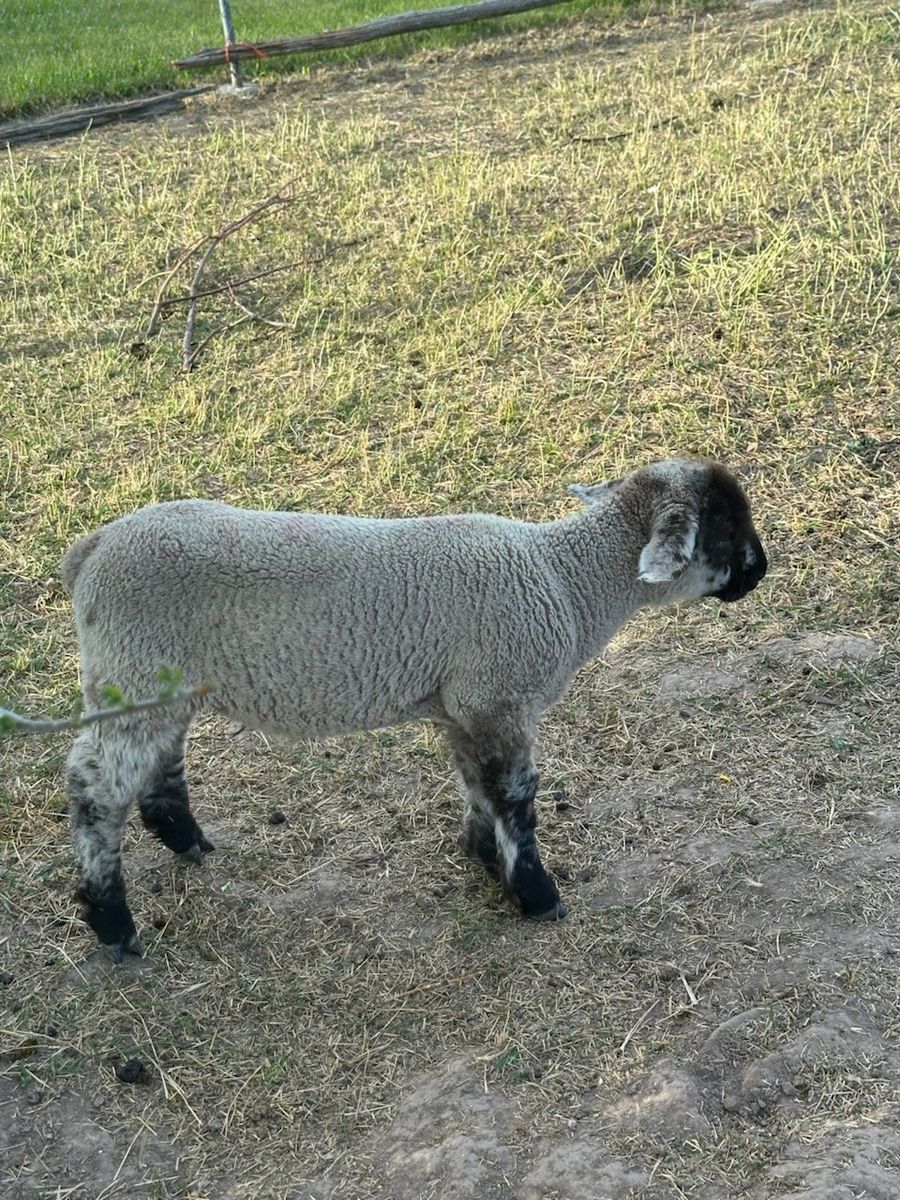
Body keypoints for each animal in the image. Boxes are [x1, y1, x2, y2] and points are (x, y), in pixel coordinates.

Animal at [61, 457, 767, 960]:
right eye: (725, 525)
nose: (760, 570)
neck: (566, 580)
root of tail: (90, 551)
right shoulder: (499, 695)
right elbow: (515, 797)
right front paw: (535, 894)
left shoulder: (465, 706)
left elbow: (479, 787)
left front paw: (483, 857)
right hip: (130, 669)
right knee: (94, 787)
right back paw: (111, 921)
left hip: (159, 680)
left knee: (157, 763)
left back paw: (185, 841)